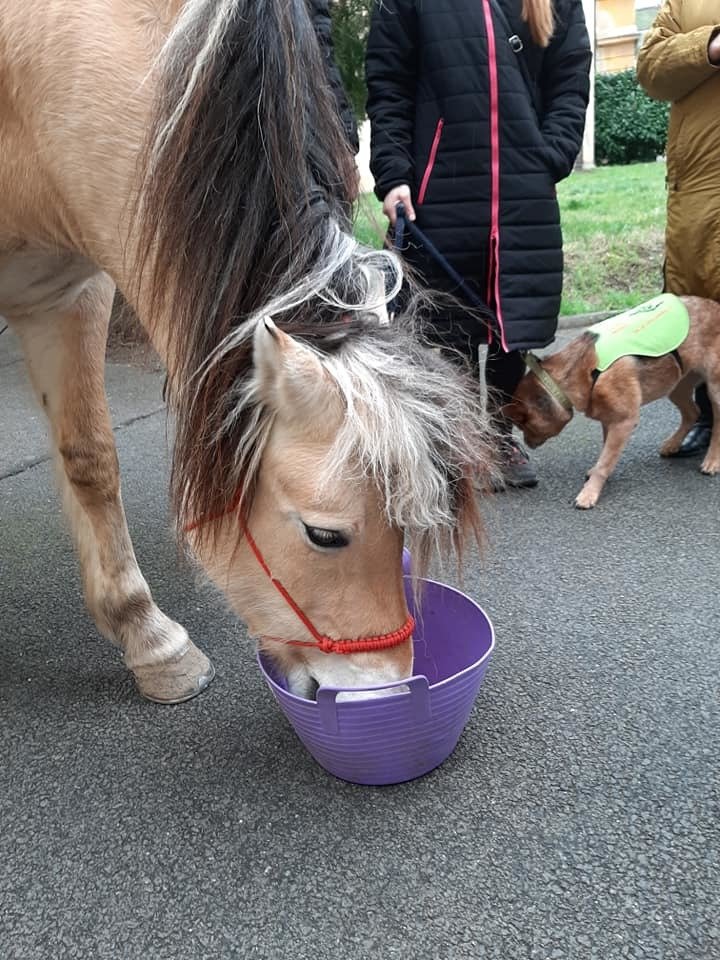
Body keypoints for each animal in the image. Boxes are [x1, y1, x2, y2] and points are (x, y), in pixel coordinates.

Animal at [506, 294, 720, 510]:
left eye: (522, 424)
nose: (527, 446)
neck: (580, 372)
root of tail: (714, 305)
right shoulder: (608, 420)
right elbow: (605, 454)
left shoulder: (624, 422)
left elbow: (605, 461)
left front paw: (590, 492)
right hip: (675, 385)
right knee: (693, 412)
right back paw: (673, 444)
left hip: (714, 389)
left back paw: (712, 461)